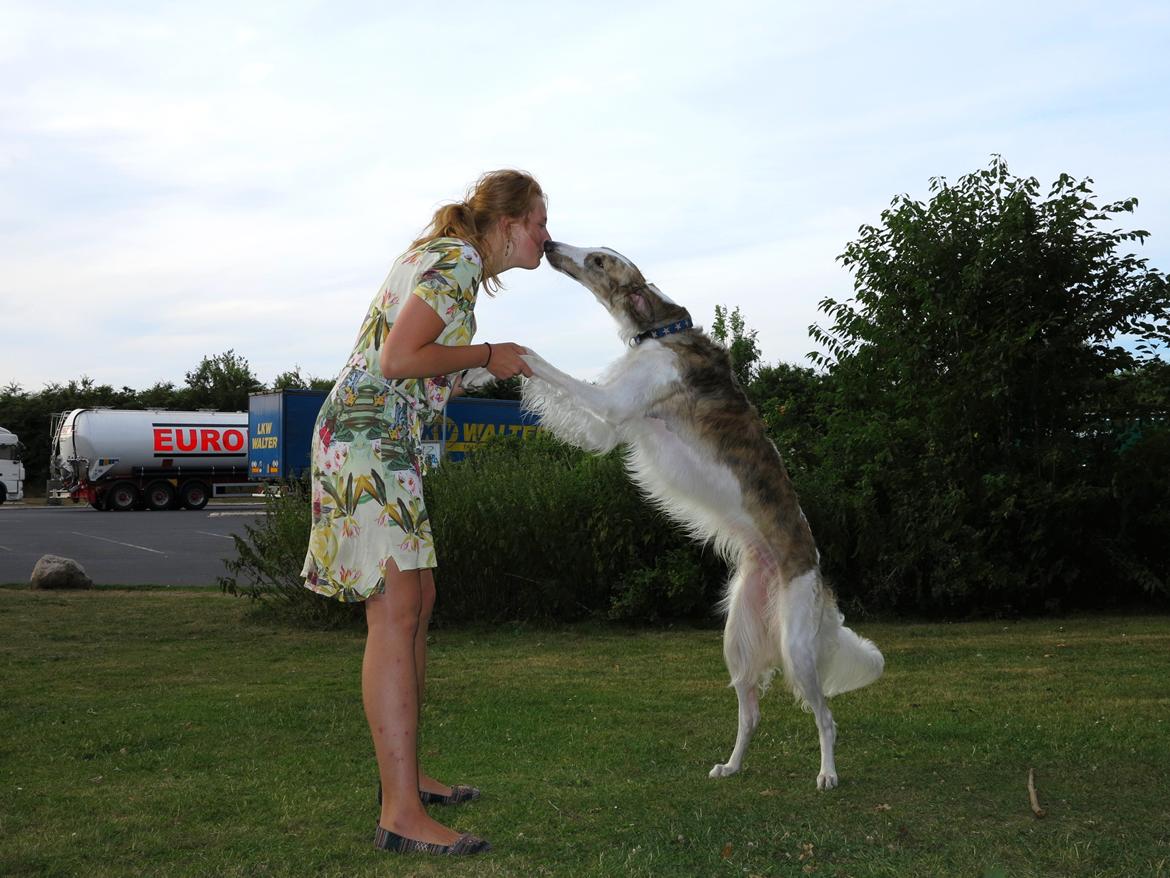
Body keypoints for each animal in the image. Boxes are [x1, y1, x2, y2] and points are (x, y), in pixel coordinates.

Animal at [524, 241, 884, 791]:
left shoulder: (612, 403)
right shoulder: (610, 424)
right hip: (737, 636)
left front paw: (498, 353)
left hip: (797, 648)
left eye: (599, 261)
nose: (550, 246)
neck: (660, 331)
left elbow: (538, 361)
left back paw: (827, 774)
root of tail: (814, 571)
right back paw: (731, 765)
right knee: (751, 713)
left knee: (826, 717)